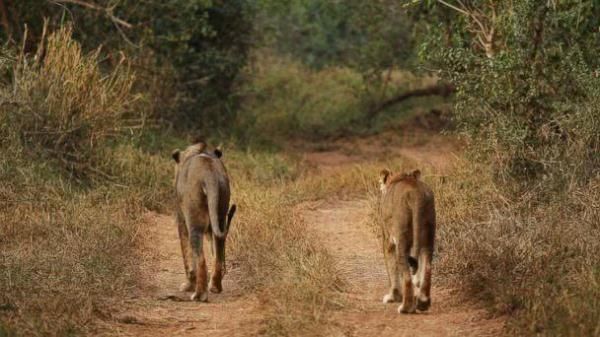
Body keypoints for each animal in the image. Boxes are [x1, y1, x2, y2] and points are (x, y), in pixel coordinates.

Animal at [378, 168, 434, 312]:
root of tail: (415, 193)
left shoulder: (388, 240)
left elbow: (391, 268)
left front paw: (392, 297)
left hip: (401, 238)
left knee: (407, 276)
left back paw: (405, 308)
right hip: (428, 234)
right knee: (427, 265)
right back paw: (423, 302)